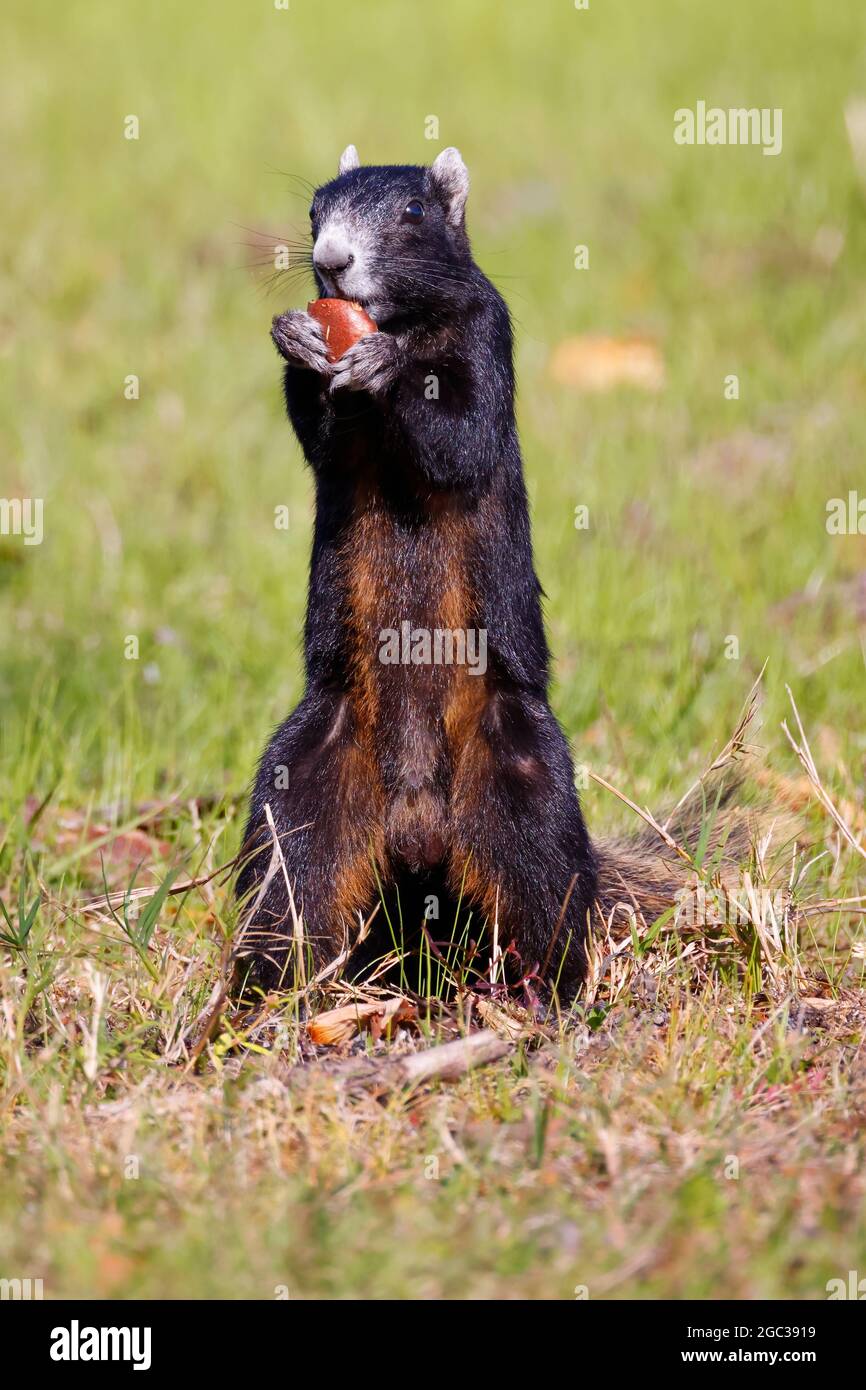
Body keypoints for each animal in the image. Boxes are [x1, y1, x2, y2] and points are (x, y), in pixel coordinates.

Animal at [234, 146, 750, 1000]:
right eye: (313, 210)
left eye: (413, 213)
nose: (330, 261)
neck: (406, 325)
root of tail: (415, 838)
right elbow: (322, 439)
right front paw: (298, 338)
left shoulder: (489, 338)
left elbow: (462, 435)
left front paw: (380, 366)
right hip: (301, 785)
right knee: (289, 890)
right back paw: (262, 994)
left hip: (522, 786)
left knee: (546, 899)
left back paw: (550, 997)